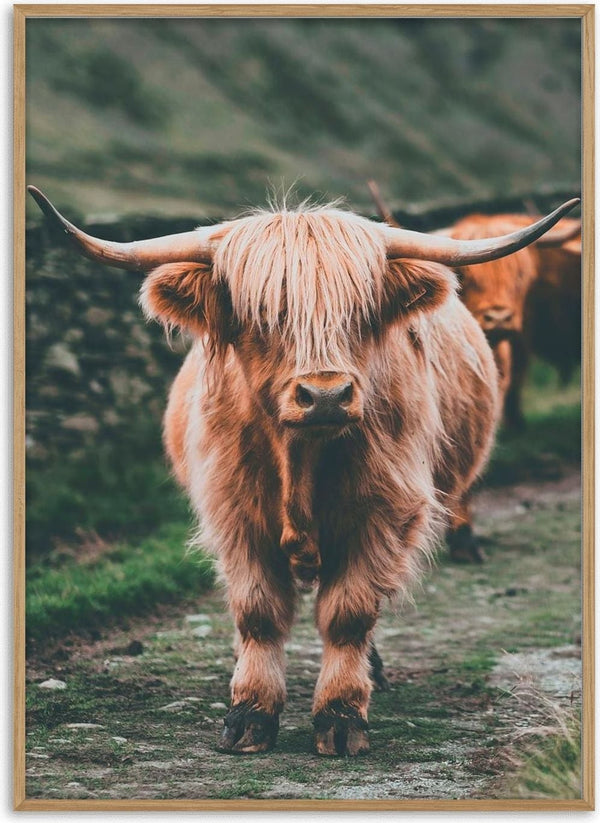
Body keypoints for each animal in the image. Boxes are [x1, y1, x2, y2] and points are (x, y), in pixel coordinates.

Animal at [28, 185, 578, 756]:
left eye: (361, 311)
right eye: (262, 314)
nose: (326, 394)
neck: (300, 459)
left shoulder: (383, 514)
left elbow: (349, 613)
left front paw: (340, 715)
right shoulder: (234, 515)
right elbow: (258, 612)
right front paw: (249, 713)